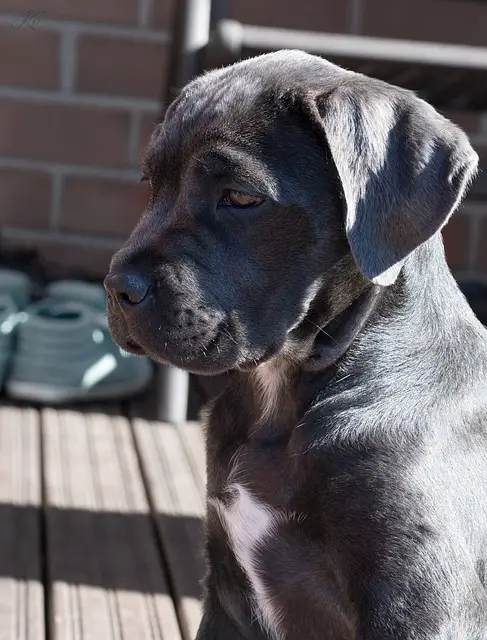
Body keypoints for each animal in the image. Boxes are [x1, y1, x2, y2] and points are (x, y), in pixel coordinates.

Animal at [104, 51, 487, 640]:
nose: (118, 288)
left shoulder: (420, 607)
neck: (280, 396)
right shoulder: (227, 596)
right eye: (151, 184)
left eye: (241, 197)